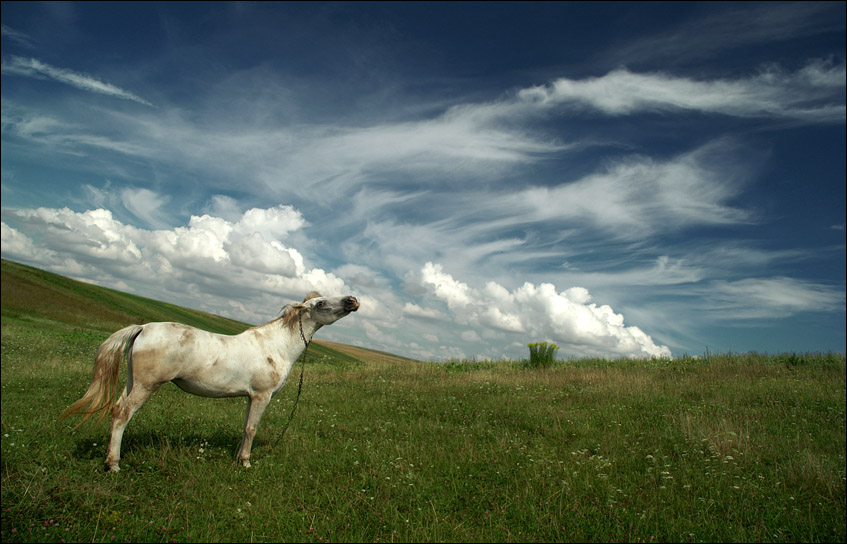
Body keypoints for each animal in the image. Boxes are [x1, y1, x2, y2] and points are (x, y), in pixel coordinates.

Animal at [62, 292, 358, 470]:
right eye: (320, 303)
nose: (352, 300)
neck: (275, 346)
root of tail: (143, 328)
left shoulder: (250, 397)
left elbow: (245, 428)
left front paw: (239, 458)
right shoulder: (261, 396)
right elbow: (252, 429)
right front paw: (246, 463)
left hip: (133, 382)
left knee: (116, 409)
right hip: (145, 386)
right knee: (123, 414)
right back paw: (113, 464)